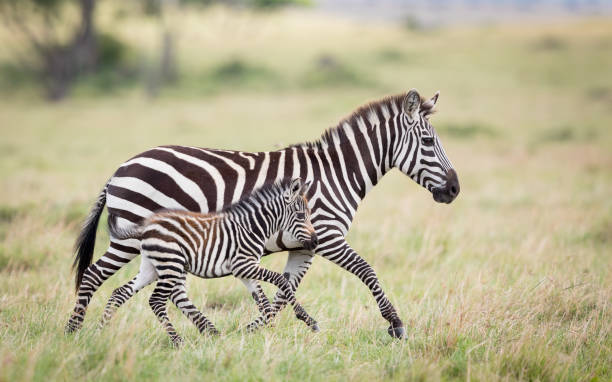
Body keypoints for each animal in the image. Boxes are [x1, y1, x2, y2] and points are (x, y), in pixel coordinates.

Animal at [101, 178, 318, 344]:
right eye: (301, 215)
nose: (315, 241)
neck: (253, 227)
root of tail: (146, 227)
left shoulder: (244, 271)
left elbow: (261, 299)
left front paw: (268, 329)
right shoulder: (243, 264)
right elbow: (281, 280)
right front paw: (306, 319)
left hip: (151, 267)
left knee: (120, 292)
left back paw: (102, 330)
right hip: (171, 265)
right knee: (156, 301)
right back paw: (178, 342)